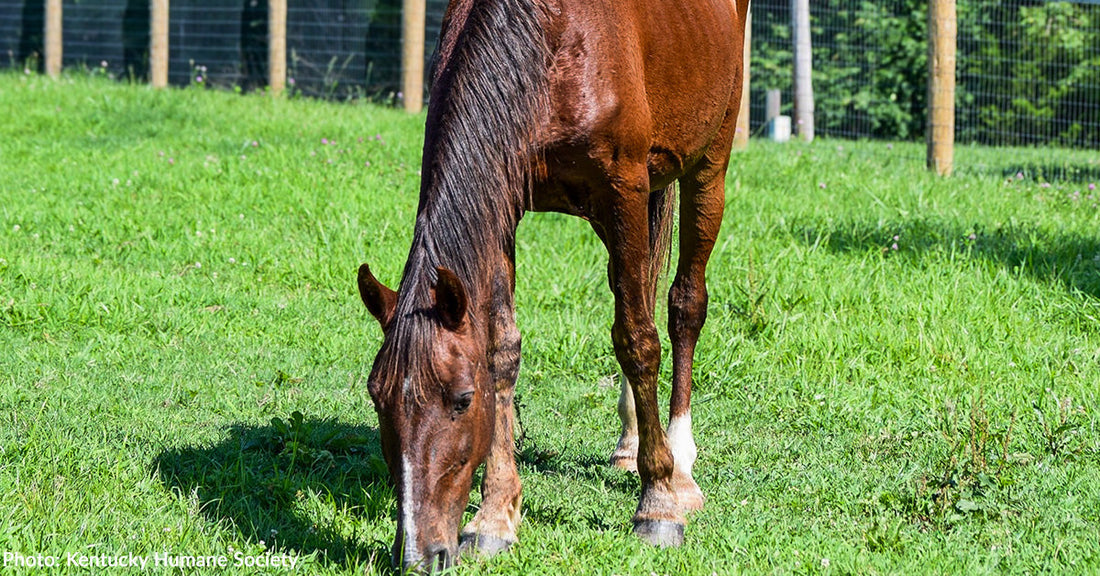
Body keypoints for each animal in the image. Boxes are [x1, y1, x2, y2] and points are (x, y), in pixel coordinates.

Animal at [356, 0, 749, 570]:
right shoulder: (504, 204)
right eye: (378, 398)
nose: (419, 555)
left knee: (682, 307)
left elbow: (638, 340)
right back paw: (631, 444)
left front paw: (658, 505)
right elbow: (501, 348)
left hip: (707, 162)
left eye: (461, 400)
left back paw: (681, 466)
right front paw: (494, 516)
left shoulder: (624, 189)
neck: (546, 40)